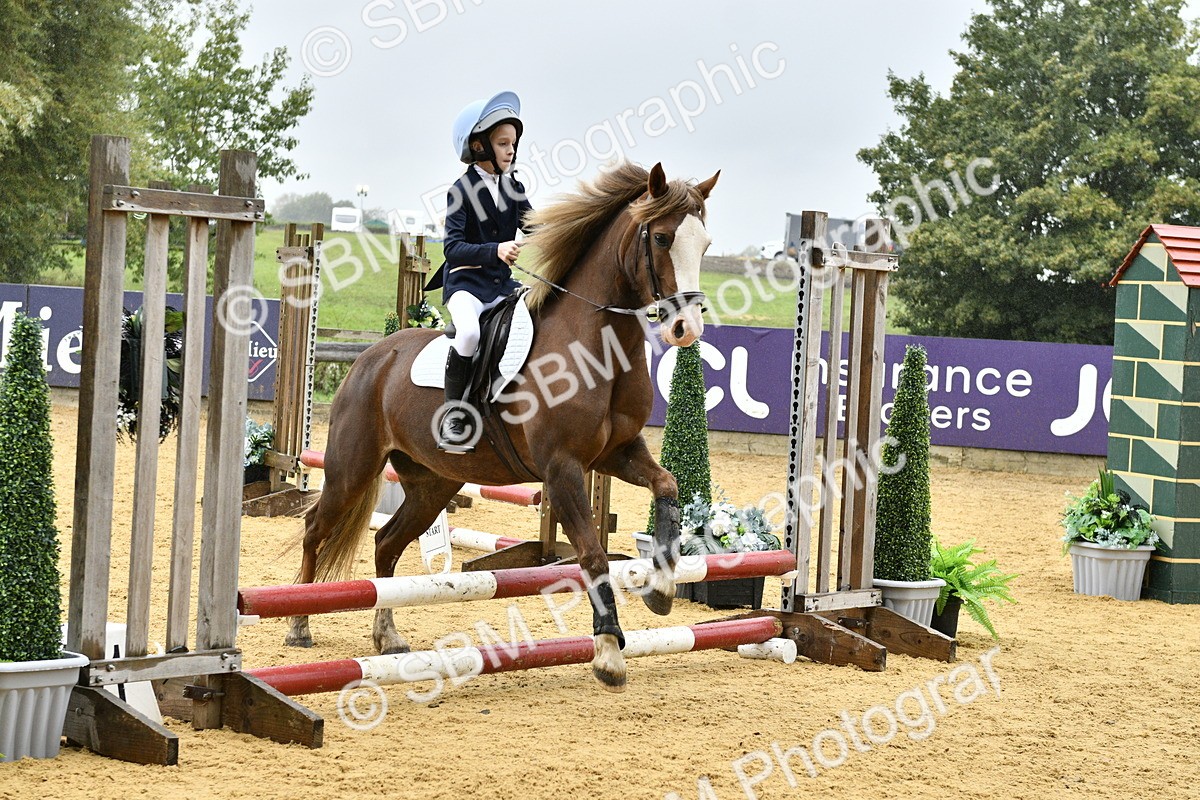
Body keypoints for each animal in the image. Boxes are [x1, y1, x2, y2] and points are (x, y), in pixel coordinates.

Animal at [287, 162, 719, 692]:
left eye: (705, 244)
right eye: (661, 238)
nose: (687, 329)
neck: (596, 344)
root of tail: (371, 357)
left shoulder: (617, 453)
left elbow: (668, 485)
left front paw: (661, 587)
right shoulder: (562, 468)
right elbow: (592, 555)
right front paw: (608, 653)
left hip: (432, 485)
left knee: (386, 543)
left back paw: (387, 637)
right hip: (352, 469)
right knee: (314, 529)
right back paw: (299, 624)